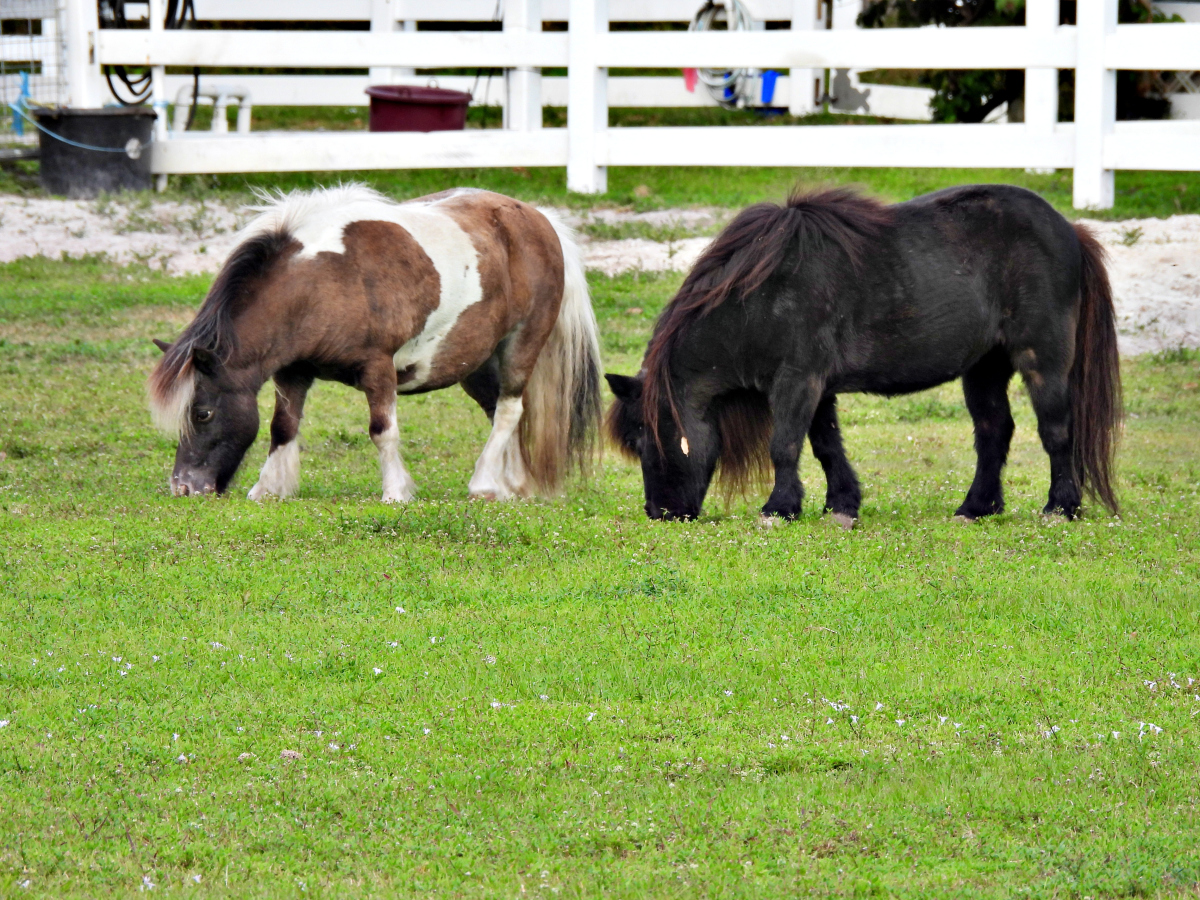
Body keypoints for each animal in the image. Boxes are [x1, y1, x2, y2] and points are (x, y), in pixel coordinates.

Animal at [147, 186, 600, 504]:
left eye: (202, 413)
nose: (183, 488)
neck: (319, 282)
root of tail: (541, 220)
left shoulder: (378, 368)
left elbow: (383, 431)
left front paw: (395, 492)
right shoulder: (293, 373)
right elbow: (282, 428)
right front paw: (269, 489)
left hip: (522, 344)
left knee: (509, 410)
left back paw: (483, 483)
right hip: (477, 363)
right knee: (498, 413)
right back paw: (510, 484)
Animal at [609, 184, 1123, 520]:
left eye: (644, 439)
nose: (658, 512)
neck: (760, 296)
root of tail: (1069, 229)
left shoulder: (797, 381)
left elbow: (785, 444)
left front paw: (779, 508)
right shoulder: (815, 387)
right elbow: (825, 446)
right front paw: (841, 505)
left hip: (1042, 360)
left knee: (1056, 431)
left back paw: (1060, 507)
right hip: (985, 366)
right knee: (994, 430)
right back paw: (976, 508)